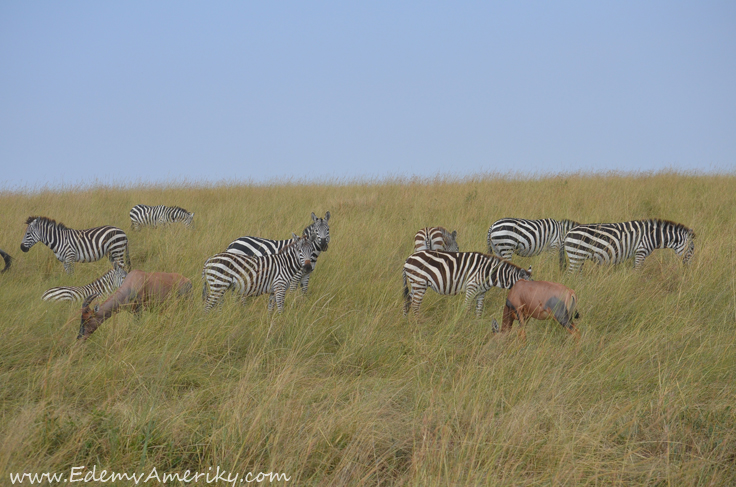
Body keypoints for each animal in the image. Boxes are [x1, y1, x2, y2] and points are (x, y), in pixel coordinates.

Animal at [560, 219, 700, 272]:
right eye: (692, 249)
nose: (688, 269)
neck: (653, 236)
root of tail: (568, 233)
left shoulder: (635, 254)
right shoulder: (641, 251)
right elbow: (638, 271)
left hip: (579, 258)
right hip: (576, 256)